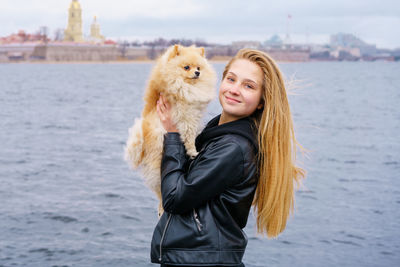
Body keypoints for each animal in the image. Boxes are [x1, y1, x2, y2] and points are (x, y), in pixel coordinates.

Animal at [124, 45, 216, 215]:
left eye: (199, 68)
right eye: (187, 67)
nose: (197, 73)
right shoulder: (186, 119)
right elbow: (189, 137)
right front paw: (194, 152)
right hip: (157, 167)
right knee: (160, 191)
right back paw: (161, 207)